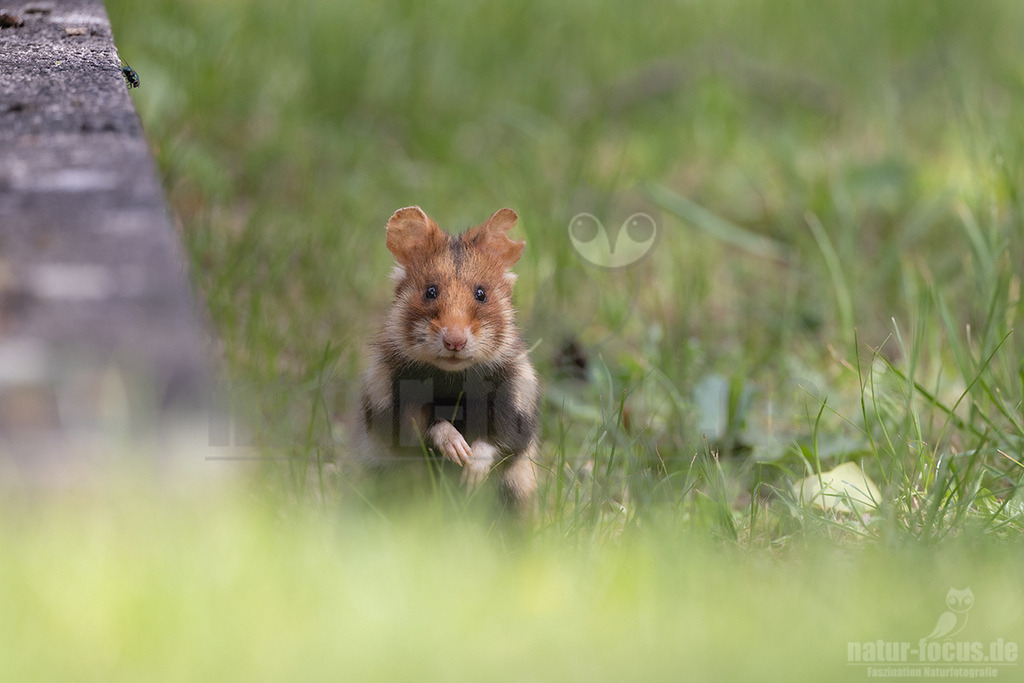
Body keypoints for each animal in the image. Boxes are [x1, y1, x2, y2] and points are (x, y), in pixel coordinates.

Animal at [357, 206, 540, 517]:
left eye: (481, 294)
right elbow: (426, 425)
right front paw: (458, 450)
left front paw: (469, 473)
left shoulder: (517, 406)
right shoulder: (390, 403)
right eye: (430, 291)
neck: (453, 375)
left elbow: (497, 440)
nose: (455, 342)